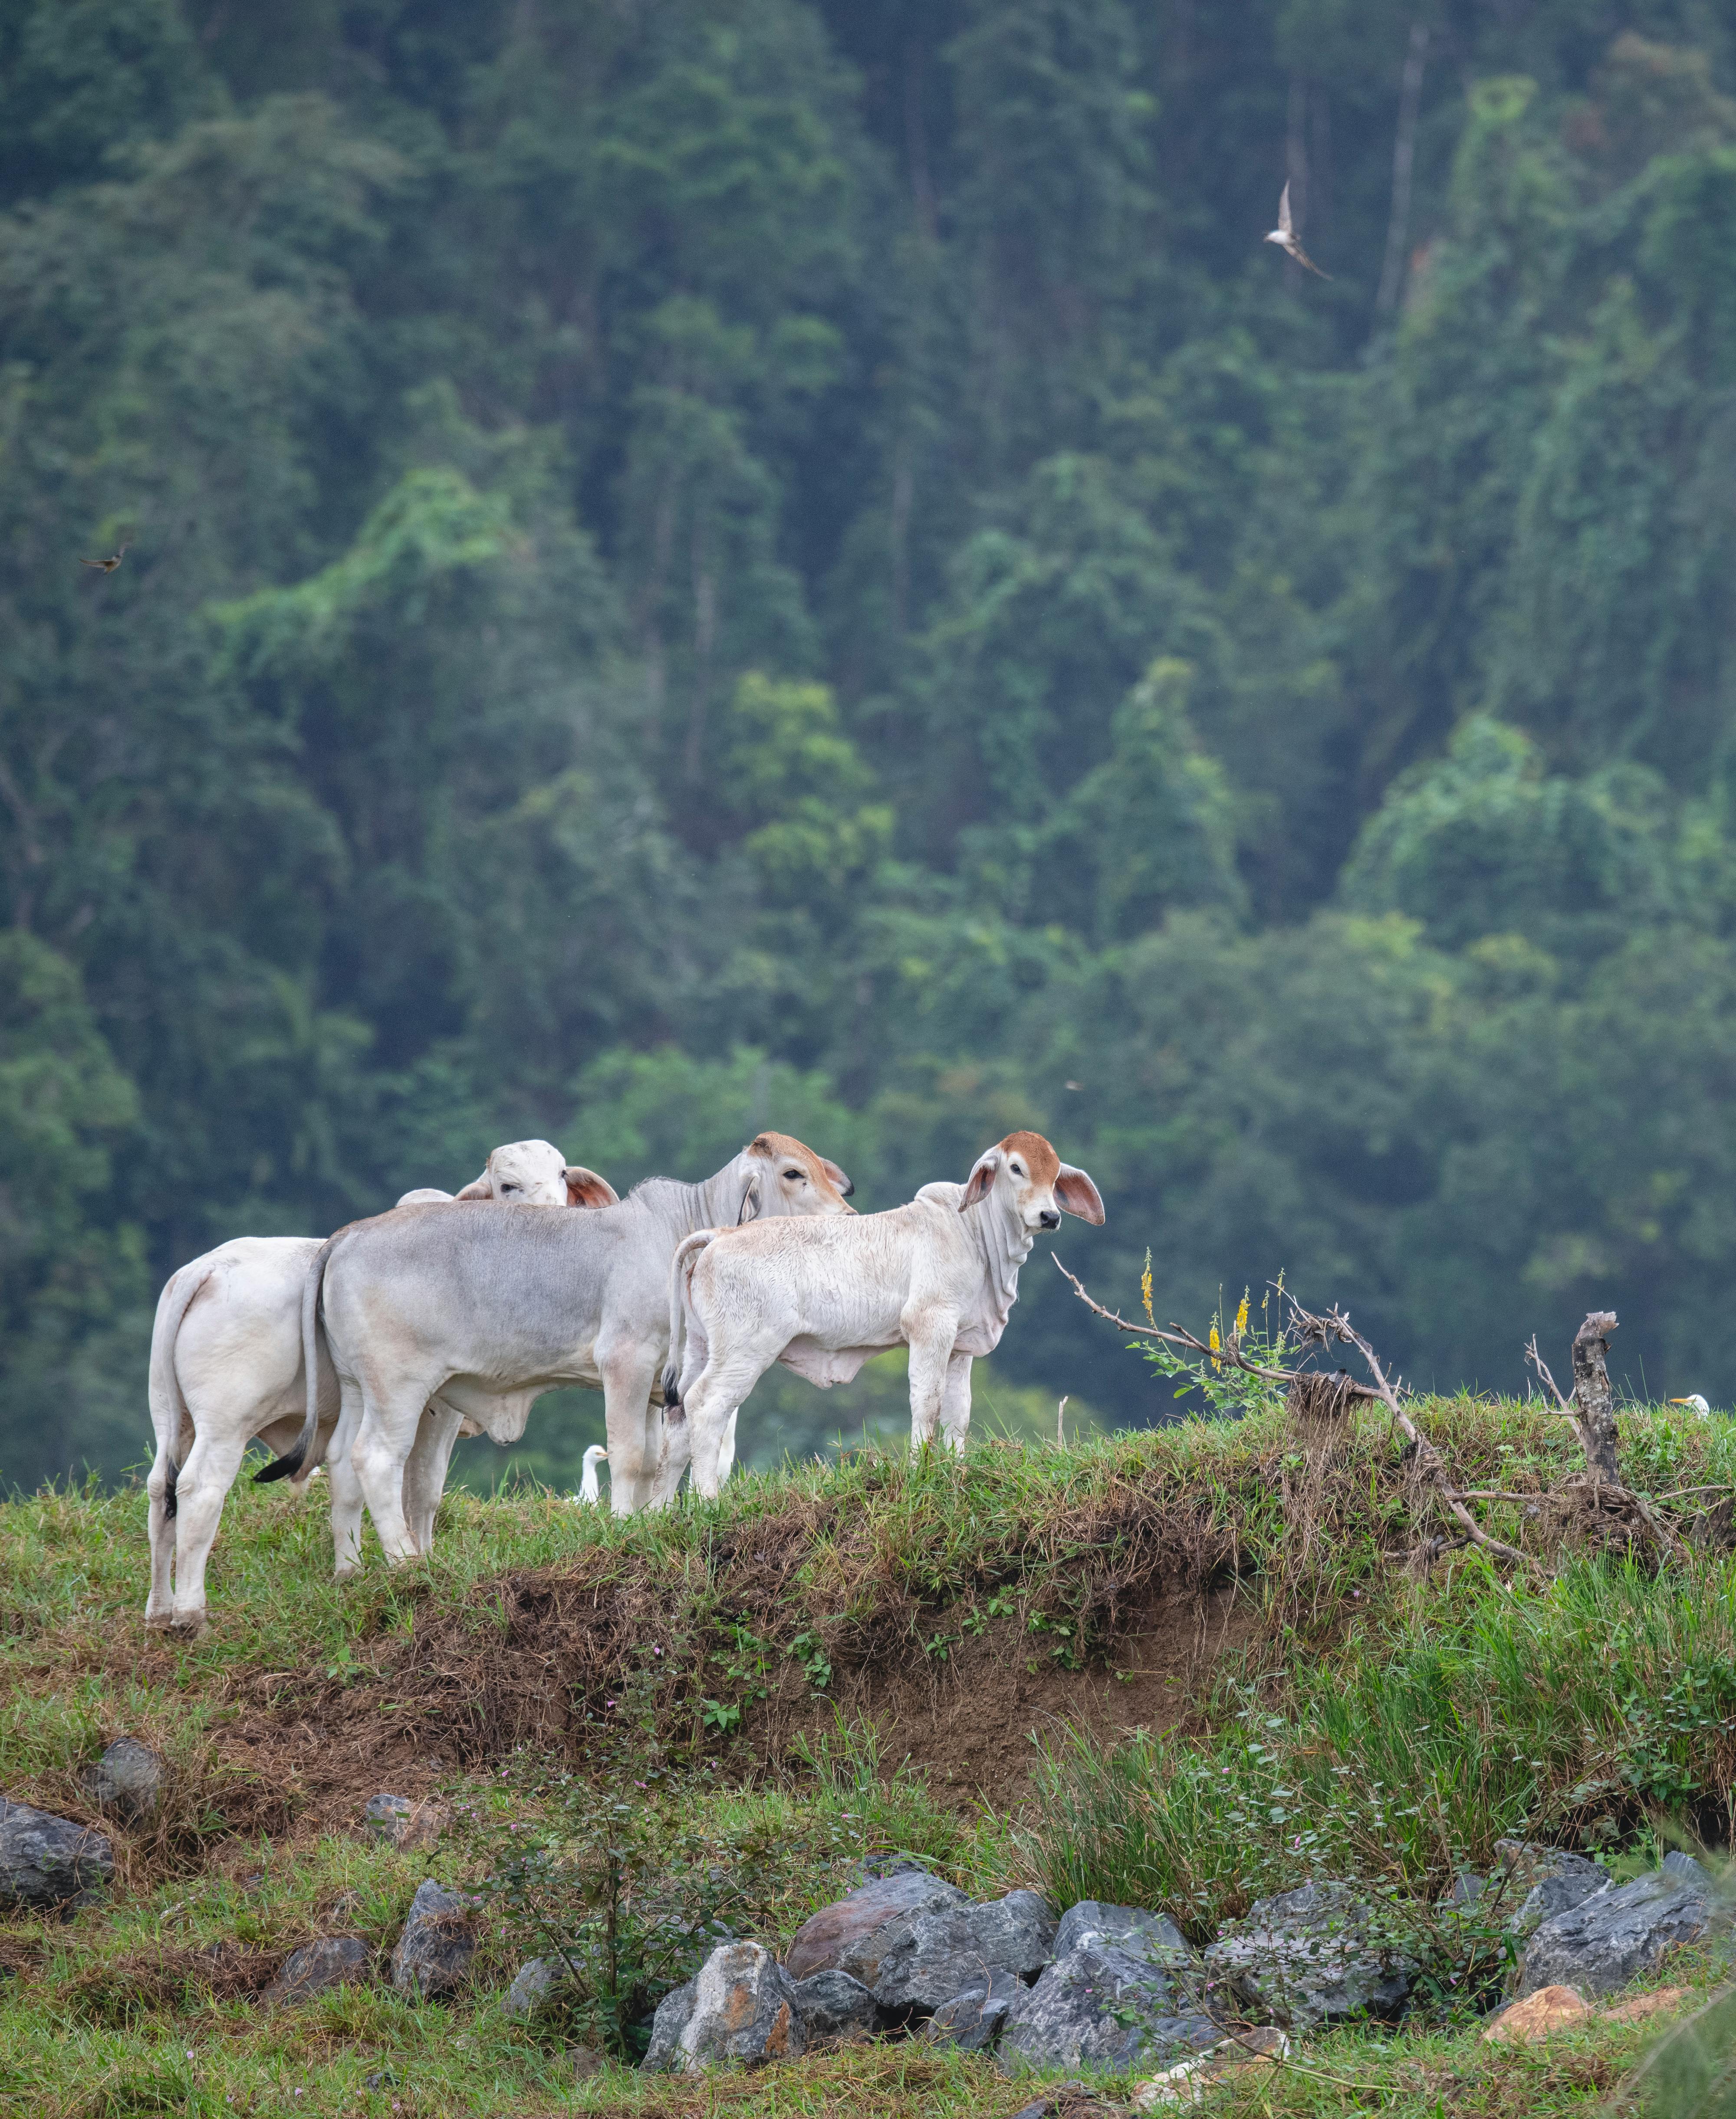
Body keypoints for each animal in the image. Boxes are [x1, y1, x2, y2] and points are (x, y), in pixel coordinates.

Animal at [146, 1144, 615, 1619]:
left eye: (561, 1174)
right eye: (507, 1185)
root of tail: (207, 1268)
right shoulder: (440, 1410)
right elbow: (424, 1488)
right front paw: (424, 1559)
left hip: (173, 1417)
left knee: (161, 1490)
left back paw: (160, 1611)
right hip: (228, 1422)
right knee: (201, 1487)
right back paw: (190, 1612)